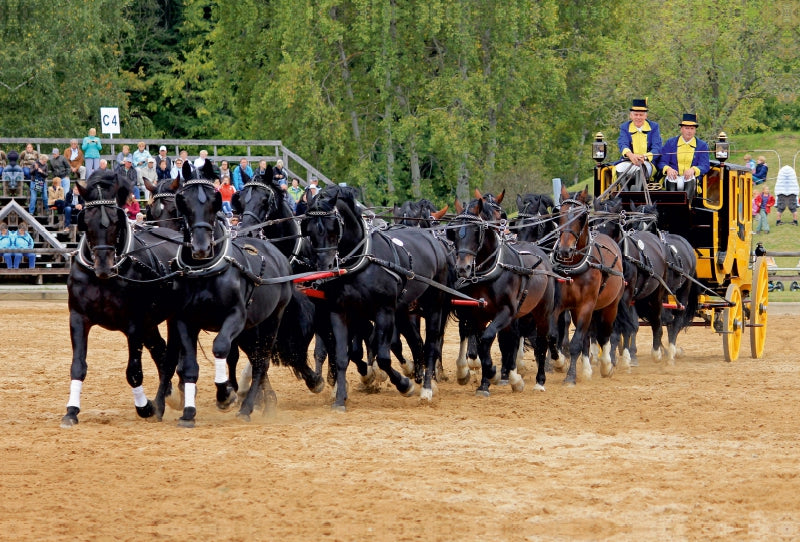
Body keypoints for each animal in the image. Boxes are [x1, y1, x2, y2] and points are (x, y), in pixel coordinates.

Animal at [62, 170, 183, 430]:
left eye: (116, 221)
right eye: (86, 220)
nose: (104, 267)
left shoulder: (134, 324)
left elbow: (133, 372)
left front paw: (145, 407)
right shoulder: (78, 318)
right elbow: (78, 366)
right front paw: (71, 411)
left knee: (169, 356)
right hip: (150, 323)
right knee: (160, 351)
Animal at [166, 168, 322, 428]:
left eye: (267, 201)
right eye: (182, 200)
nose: (201, 247)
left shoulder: (238, 317)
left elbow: (226, 349)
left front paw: (227, 394)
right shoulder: (186, 320)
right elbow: (196, 363)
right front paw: (192, 411)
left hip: (272, 318)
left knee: (262, 360)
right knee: (254, 356)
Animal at [300, 185, 450, 410]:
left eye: (334, 227)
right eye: (308, 229)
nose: (324, 267)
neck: (361, 260)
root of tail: (431, 238)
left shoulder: (384, 311)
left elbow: (384, 357)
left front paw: (404, 385)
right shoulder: (340, 311)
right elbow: (343, 355)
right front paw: (340, 399)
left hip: (434, 302)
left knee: (431, 343)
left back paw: (427, 388)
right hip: (404, 309)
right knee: (415, 342)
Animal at [446, 193, 552, 398]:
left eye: (475, 230)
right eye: (453, 232)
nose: (462, 268)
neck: (491, 270)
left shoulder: (506, 312)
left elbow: (487, 339)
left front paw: (494, 373)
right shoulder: (478, 315)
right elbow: (482, 345)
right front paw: (485, 383)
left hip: (542, 312)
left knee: (542, 342)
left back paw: (540, 380)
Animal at [552, 188, 628, 386]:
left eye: (581, 217)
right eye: (560, 215)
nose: (565, 250)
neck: (574, 266)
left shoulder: (587, 305)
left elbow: (576, 342)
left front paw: (570, 376)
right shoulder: (559, 305)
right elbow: (553, 335)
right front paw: (560, 362)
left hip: (610, 305)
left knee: (605, 334)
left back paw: (606, 365)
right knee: (588, 336)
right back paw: (586, 369)